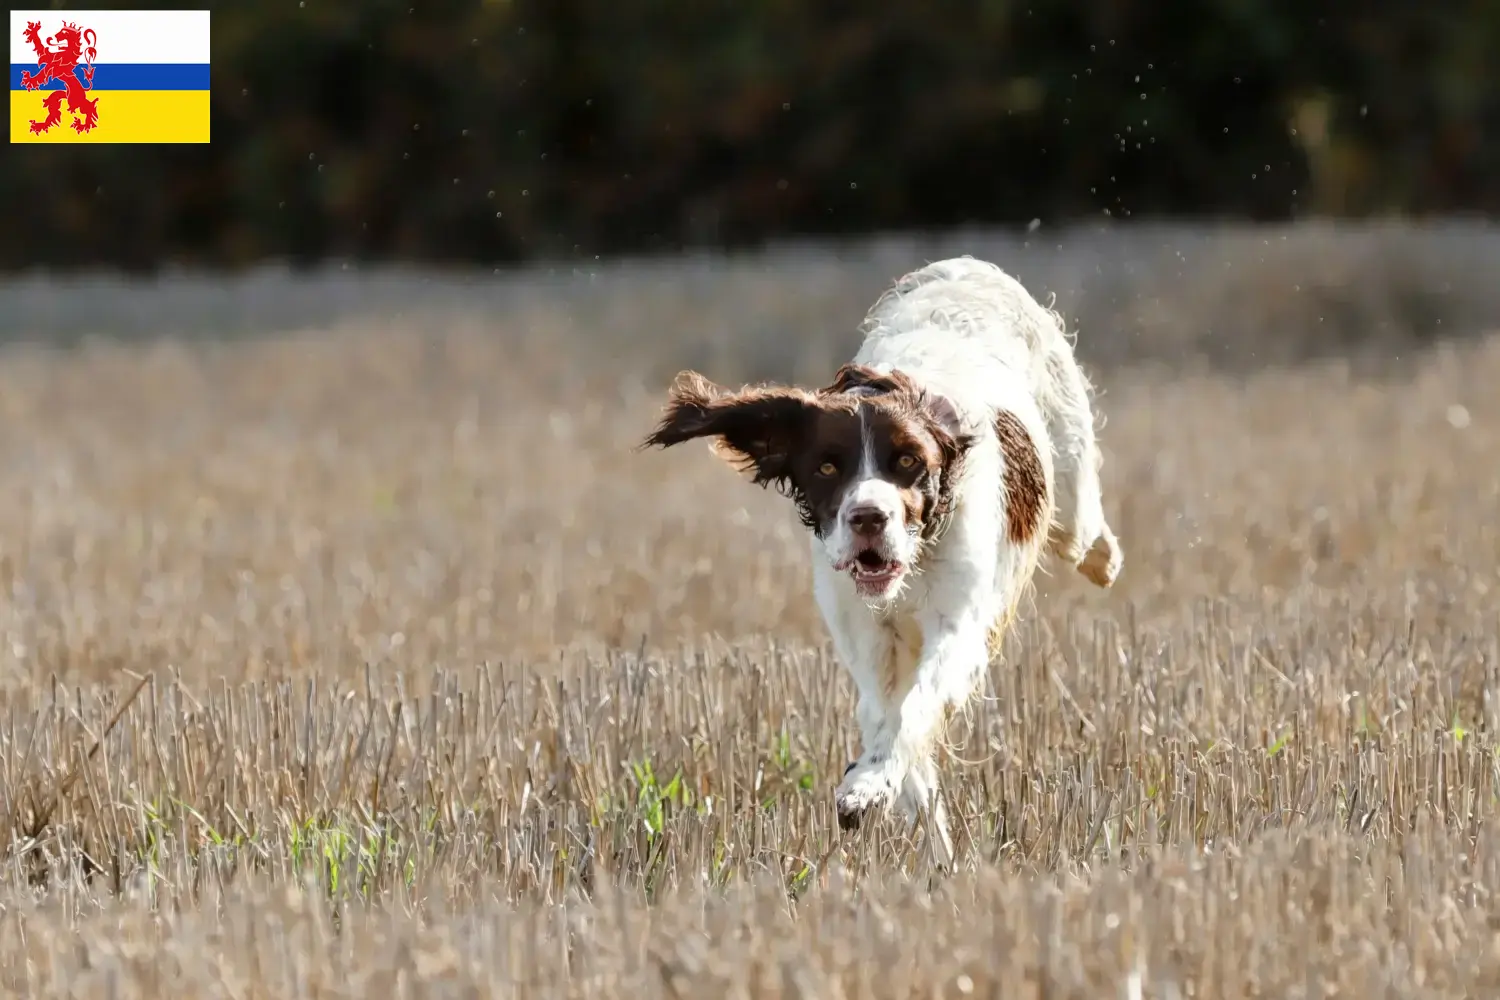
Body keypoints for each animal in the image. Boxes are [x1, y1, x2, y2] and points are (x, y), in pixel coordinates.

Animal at [639, 257, 1122, 869]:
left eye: (909, 461)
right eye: (826, 467)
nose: (868, 516)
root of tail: (963, 266)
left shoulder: (957, 627)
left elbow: (913, 710)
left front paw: (868, 788)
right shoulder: (867, 637)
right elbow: (887, 722)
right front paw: (896, 812)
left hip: (1070, 478)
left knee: (1085, 532)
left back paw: (1105, 560)